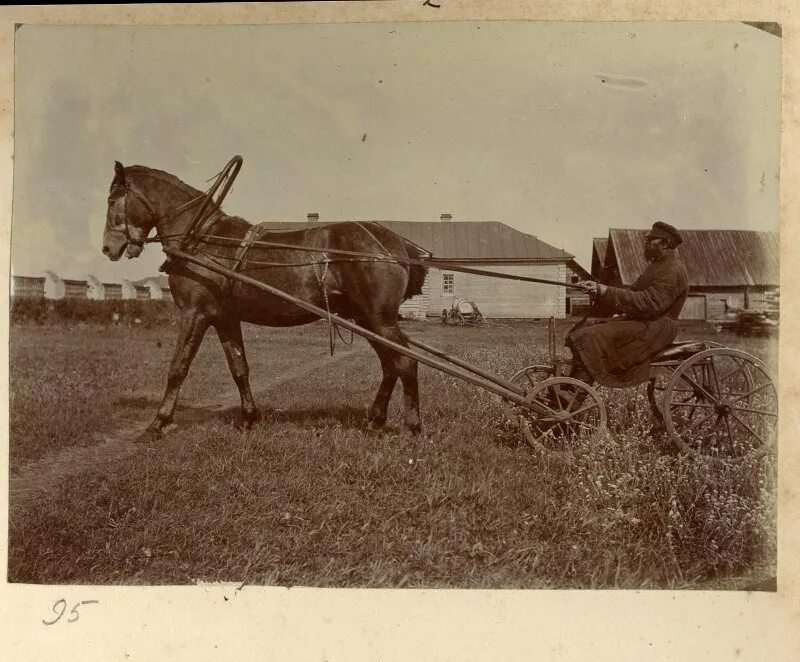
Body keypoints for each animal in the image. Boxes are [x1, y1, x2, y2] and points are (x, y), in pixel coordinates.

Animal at [103, 161, 428, 440]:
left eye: (112, 199)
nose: (108, 248)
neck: (201, 239)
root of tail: (395, 244)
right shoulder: (224, 318)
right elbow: (239, 368)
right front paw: (249, 418)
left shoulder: (195, 313)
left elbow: (177, 368)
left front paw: (158, 423)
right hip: (367, 320)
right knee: (390, 366)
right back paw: (376, 419)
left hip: (378, 319)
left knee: (405, 363)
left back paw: (412, 426)